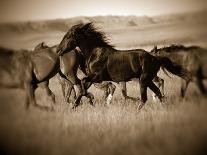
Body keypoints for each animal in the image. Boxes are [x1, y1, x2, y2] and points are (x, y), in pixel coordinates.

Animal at [56, 23, 189, 109]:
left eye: (68, 37)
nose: (58, 50)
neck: (95, 53)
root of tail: (155, 57)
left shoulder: (97, 77)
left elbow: (83, 83)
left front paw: (90, 98)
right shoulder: (93, 78)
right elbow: (82, 87)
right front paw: (76, 104)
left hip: (144, 79)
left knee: (145, 98)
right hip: (148, 79)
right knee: (157, 92)